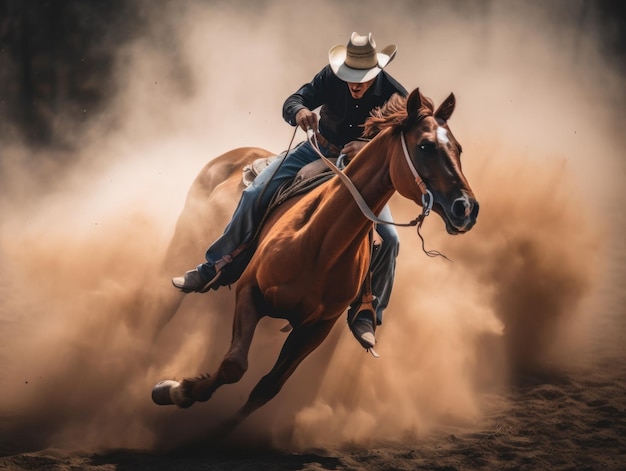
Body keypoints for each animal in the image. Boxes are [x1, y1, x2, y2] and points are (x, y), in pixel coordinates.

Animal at [150, 87, 478, 436]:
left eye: (457, 148)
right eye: (425, 145)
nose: (466, 208)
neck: (320, 244)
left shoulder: (315, 329)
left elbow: (266, 387)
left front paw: (216, 428)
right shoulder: (250, 292)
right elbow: (233, 365)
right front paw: (172, 390)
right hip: (184, 240)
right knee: (165, 304)